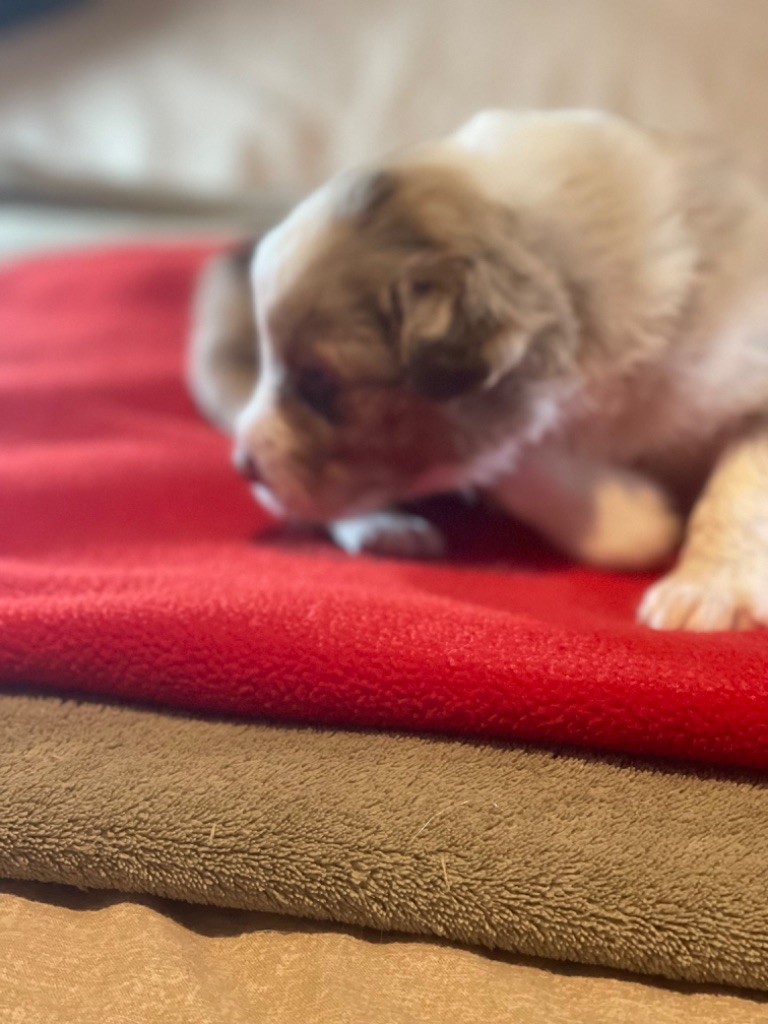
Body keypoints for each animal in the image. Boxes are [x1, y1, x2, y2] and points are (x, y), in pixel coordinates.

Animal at [188, 109, 768, 632]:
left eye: (319, 382)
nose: (243, 467)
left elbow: (739, 492)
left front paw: (706, 590)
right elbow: (500, 457)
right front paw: (629, 520)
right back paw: (386, 528)